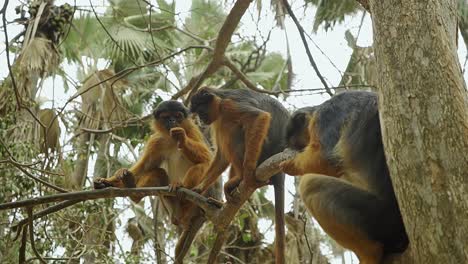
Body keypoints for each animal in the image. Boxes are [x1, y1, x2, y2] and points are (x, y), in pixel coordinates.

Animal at [282, 91, 410, 264]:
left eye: (300, 144)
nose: (300, 149)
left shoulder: (327, 115)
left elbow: (325, 160)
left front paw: (290, 165)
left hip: (380, 218)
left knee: (310, 184)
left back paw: (371, 255)